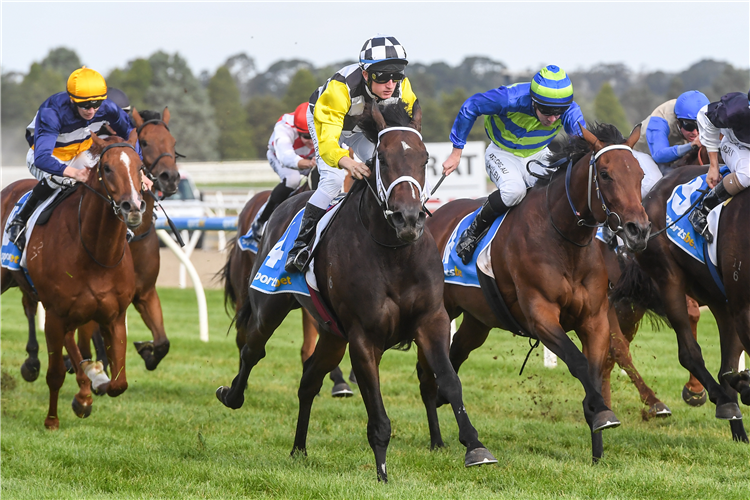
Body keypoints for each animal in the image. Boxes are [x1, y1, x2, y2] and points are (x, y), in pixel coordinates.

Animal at [0, 131, 145, 428]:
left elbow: (119, 383)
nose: (133, 207)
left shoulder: (113, 316)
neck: (96, 253)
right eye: (107, 168)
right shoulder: (55, 314)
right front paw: (52, 421)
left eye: (140, 167)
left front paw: (90, 385)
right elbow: (55, 374)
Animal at [17, 108, 182, 382]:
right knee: (30, 306)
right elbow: (93, 337)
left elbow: (162, 342)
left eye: (173, 142)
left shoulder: (145, 292)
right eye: (145, 142)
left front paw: (146, 351)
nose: (170, 178)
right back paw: (34, 361)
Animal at [217, 100, 500, 480]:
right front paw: (381, 471)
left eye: (425, 157)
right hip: (271, 305)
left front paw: (475, 446)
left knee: (309, 378)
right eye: (383, 156)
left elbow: (449, 379)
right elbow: (377, 412)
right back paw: (232, 395)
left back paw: (298, 448)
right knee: (252, 349)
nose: (408, 218)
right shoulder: (363, 336)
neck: (393, 253)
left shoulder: (431, 320)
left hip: (331, 333)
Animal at [428, 123, 652, 462]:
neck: (563, 239)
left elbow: (595, 372)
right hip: (437, 313)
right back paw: (440, 440)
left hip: (477, 323)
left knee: (453, 359)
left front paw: (597, 446)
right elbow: (578, 362)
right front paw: (601, 413)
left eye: (639, 174)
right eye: (605, 174)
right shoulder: (542, 316)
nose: (638, 230)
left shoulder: (595, 319)